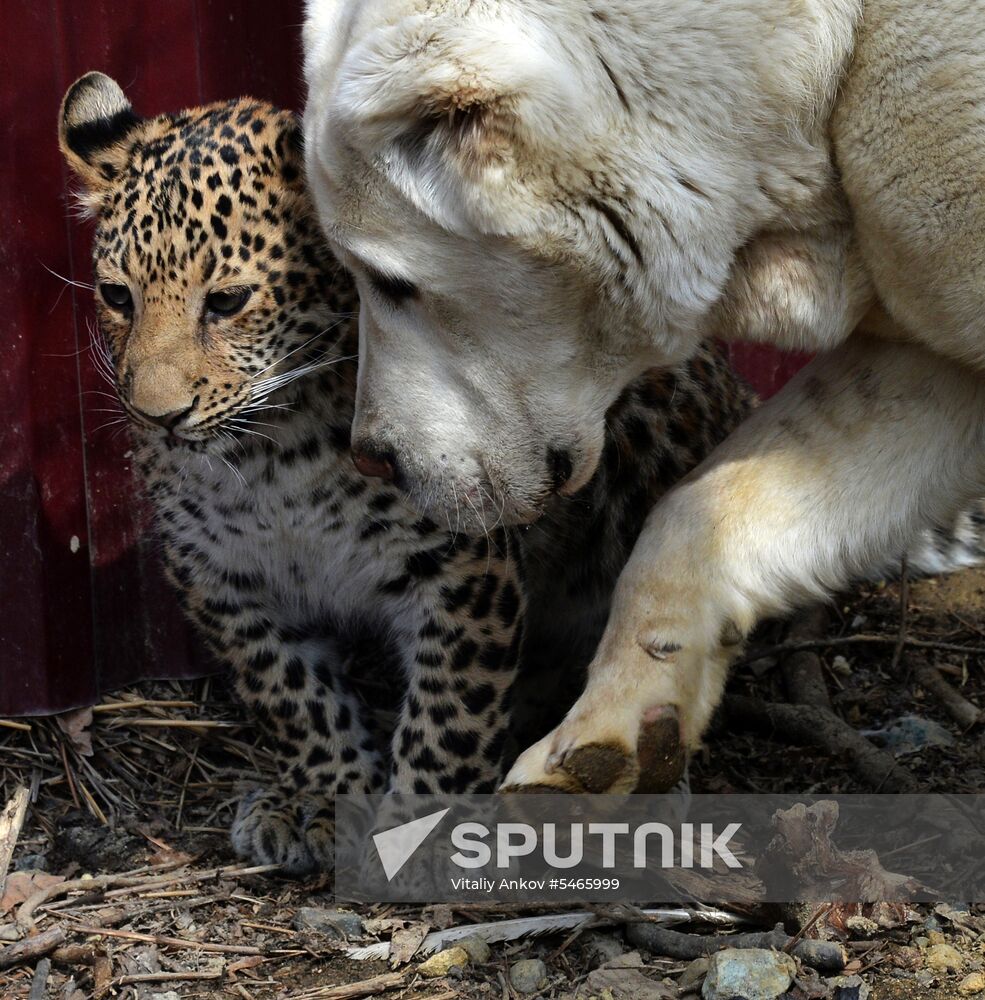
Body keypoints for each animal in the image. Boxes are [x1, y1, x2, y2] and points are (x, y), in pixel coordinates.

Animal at [59, 71, 757, 873]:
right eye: (118, 296)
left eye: (228, 301)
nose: (157, 416)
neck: (272, 458)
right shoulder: (218, 576)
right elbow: (288, 691)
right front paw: (321, 795)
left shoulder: (460, 569)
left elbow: (450, 712)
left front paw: (425, 831)